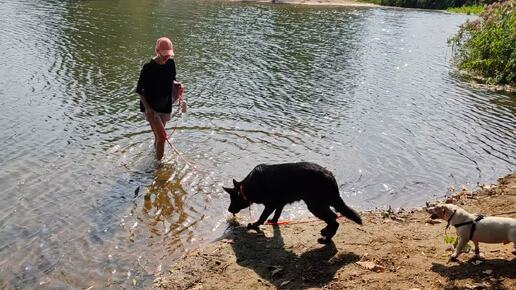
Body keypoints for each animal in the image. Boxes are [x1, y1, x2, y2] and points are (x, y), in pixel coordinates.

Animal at [223, 162, 362, 244]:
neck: (250, 186)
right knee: (333, 217)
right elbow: (277, 214)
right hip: (320, 204)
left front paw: (254, 225)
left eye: (232, 199)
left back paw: (326, 239)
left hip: (314, 205)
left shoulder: (271, 204)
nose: (229, 210)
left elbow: (262, 217)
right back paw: (325, 232)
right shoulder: (280, 203)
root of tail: (330, 176)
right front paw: (273, 221)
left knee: (334, 221)